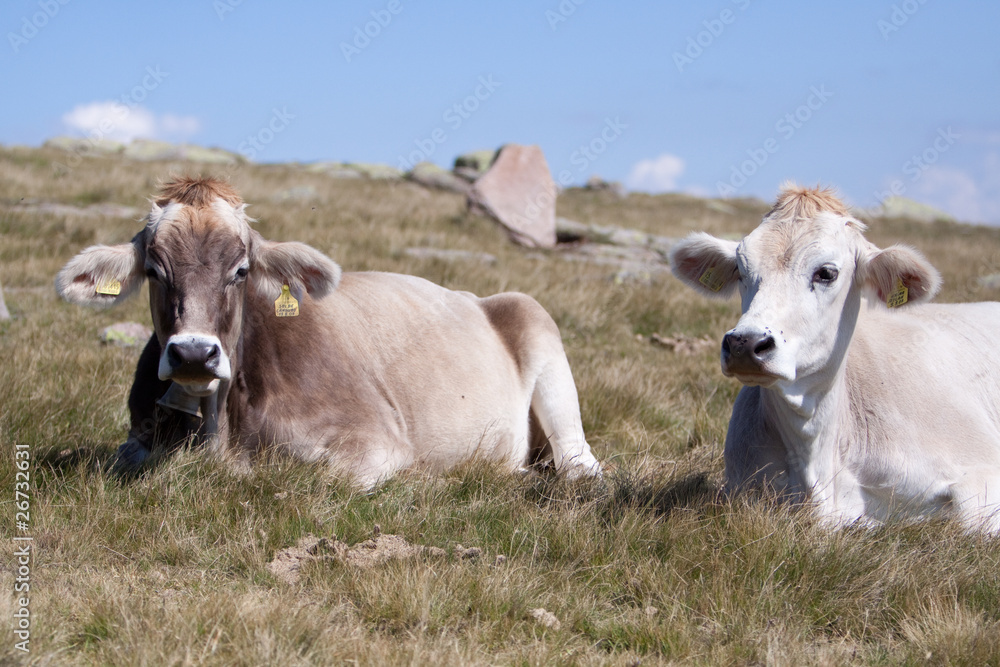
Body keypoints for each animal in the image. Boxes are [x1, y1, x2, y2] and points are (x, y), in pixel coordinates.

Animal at [56, 177, 601, 487]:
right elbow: (126, 459)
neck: (220, 430)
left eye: (241, 270)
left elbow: (321, 478)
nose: (193, 353)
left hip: (537, 326)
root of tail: (478, 296)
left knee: (579, 465)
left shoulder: (378, 439)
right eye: (154, 270)